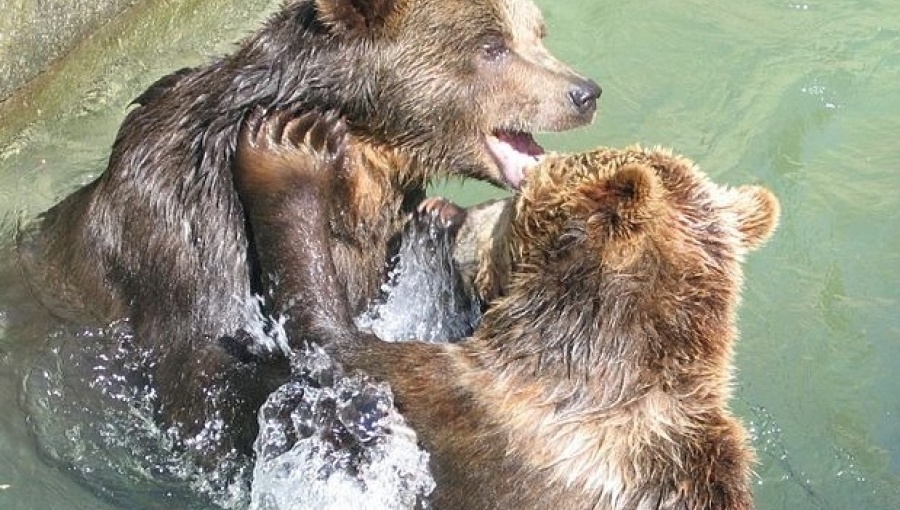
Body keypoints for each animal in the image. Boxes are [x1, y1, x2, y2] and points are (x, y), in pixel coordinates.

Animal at [15, 0, 600, 464]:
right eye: (491, 46)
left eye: (537, 32)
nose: (584, 92)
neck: (361, 160)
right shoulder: (196, 237)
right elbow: (209, 382)